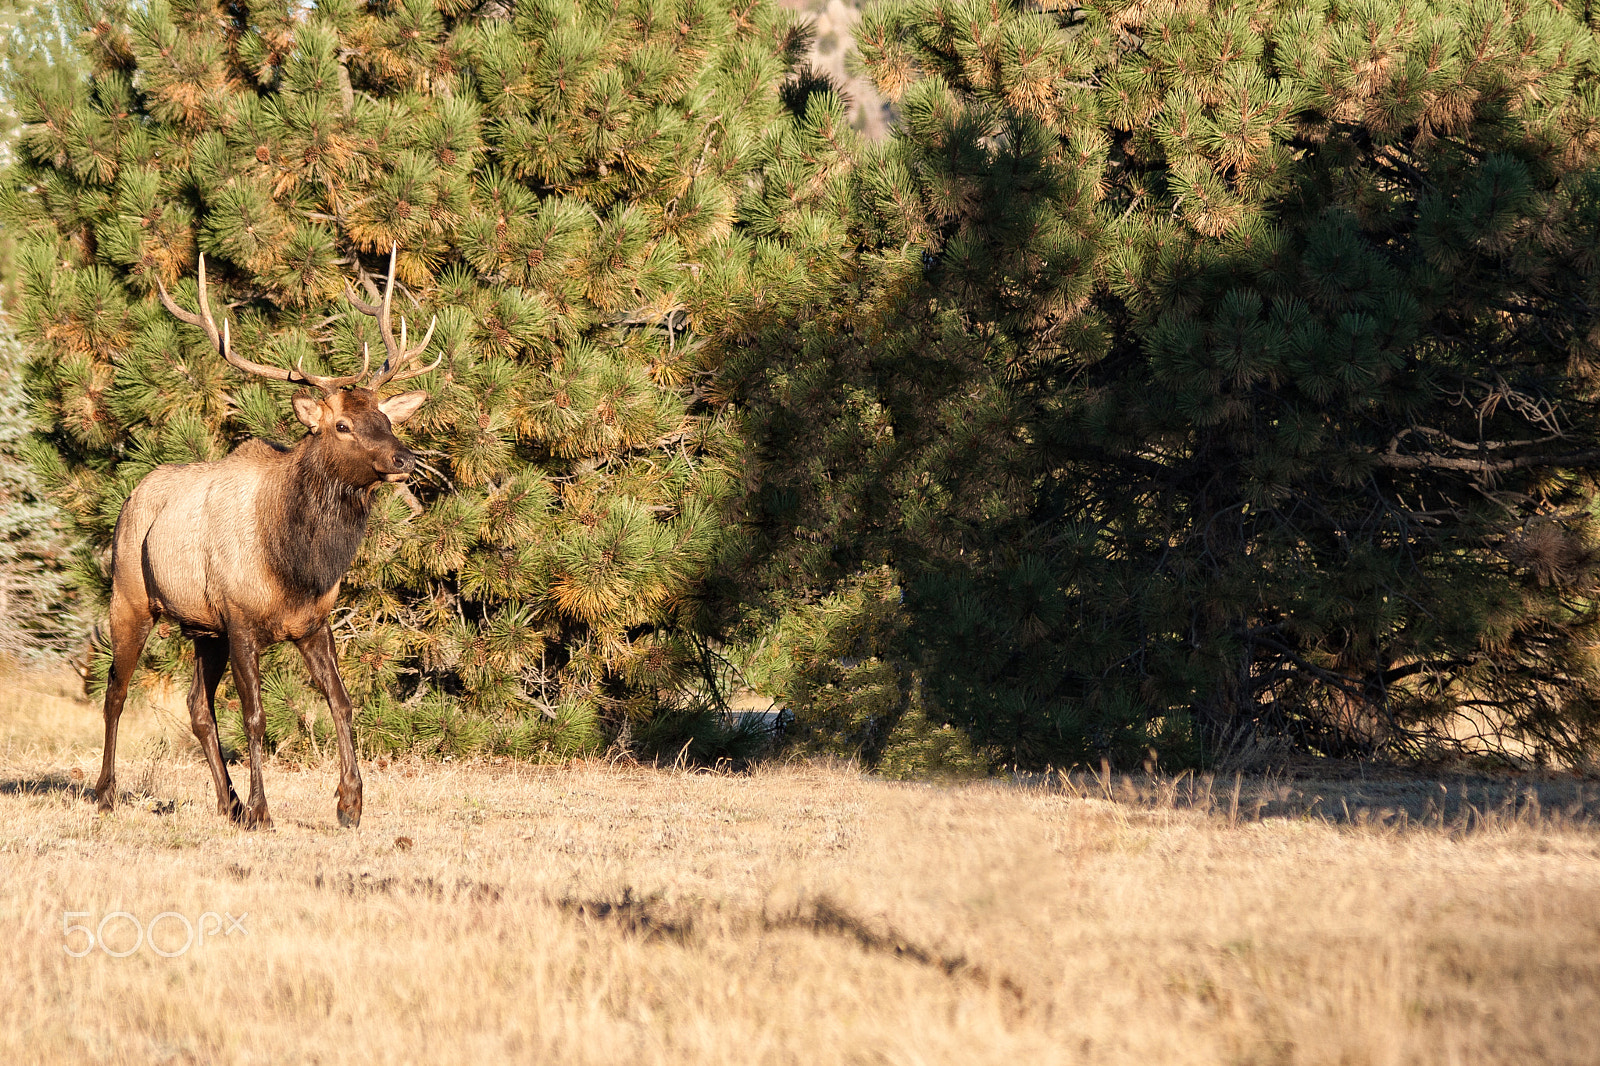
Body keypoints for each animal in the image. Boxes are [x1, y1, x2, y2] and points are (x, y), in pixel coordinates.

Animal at [92, 246, 438, 829]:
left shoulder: (312, 622)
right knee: (115, 691)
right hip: (132, 596)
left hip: (201, 627)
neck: (296, 565)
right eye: (342, 425)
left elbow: (341, 701)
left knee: (196, 706)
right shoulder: (240, 620)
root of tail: (130, 496)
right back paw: (106, 793)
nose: (404, 459)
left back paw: (225, 801)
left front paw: (350, 803)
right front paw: (261, 810)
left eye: (386, 418)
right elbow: (254, 716)